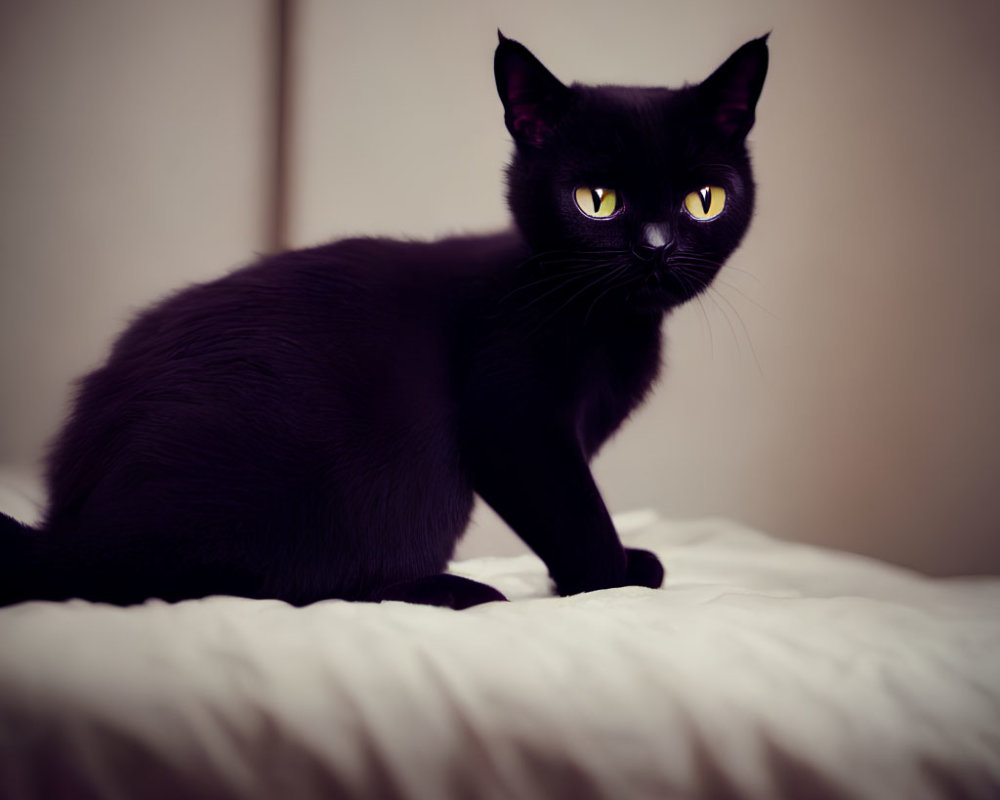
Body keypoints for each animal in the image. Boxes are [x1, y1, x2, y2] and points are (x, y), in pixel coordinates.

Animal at [0, 29, 768, 608]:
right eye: (597, 200)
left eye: (703, 201)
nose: (655, 247)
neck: (612, 326)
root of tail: (64, 533)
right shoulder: (518, 425)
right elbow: (577, 516)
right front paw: (607, 581)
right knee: (252, 583)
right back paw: (448, 590)